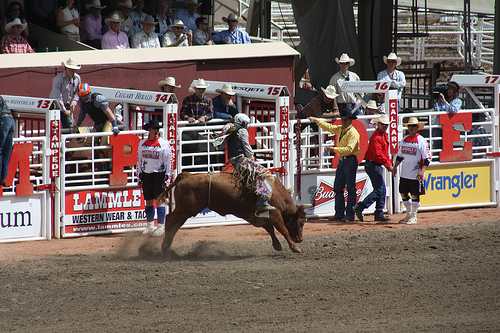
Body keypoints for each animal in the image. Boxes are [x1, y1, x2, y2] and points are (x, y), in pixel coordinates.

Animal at [160, 172, 310, 253]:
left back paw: (167, 245)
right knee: (170, 219)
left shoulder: (260, 217)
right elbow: (282, 229)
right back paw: (165, 245)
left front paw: (277, 245)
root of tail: (186, 175)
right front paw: (295, 247)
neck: (276, 192)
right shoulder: (274, 215)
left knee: (176, 224)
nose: (301, 239)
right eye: (302, 222)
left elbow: (270, 229)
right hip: (185, 209)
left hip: (186, 211)